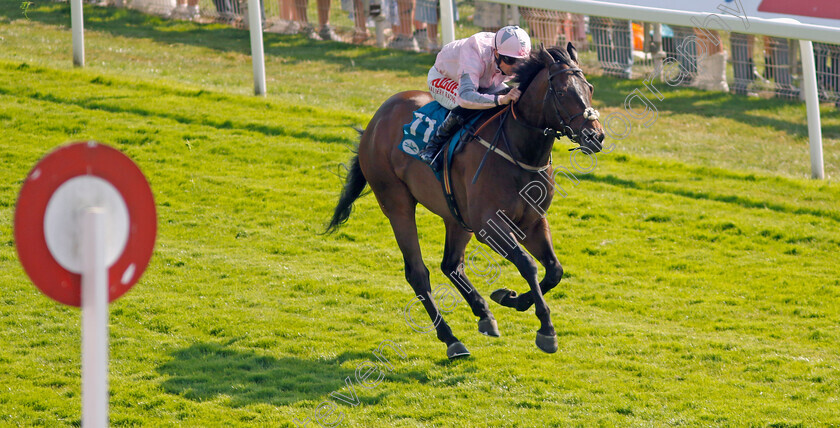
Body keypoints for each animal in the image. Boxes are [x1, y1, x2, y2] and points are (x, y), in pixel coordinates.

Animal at [326, 44, 604, 358]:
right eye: (561, 92)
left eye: (590, 88)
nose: (596, 136)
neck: (518, 151)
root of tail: (375, 120)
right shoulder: (489, 225)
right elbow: (529, 265)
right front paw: (546, 330)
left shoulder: (532, 222)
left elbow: (554, 270)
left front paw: (509, 298)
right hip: (396, 203)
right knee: (418, 273)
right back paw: (451, 339)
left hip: (456, 216)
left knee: (451, 264)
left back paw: (484, 314)